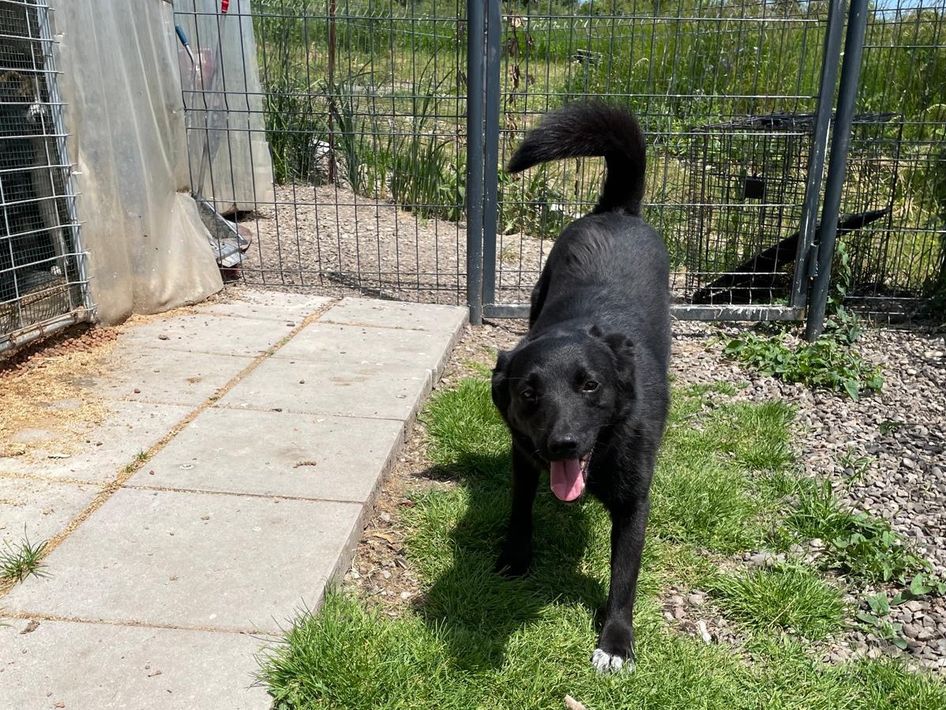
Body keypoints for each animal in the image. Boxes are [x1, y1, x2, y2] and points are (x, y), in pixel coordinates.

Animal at [490, 103, 671, 674]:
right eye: (529, 393)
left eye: (590, 385)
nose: (563, 445)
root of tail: (616, 210)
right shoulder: (523, 457)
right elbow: (519, 510)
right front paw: (515, 557)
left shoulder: (635, 503)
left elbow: (624, 577)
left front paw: (615, 642)